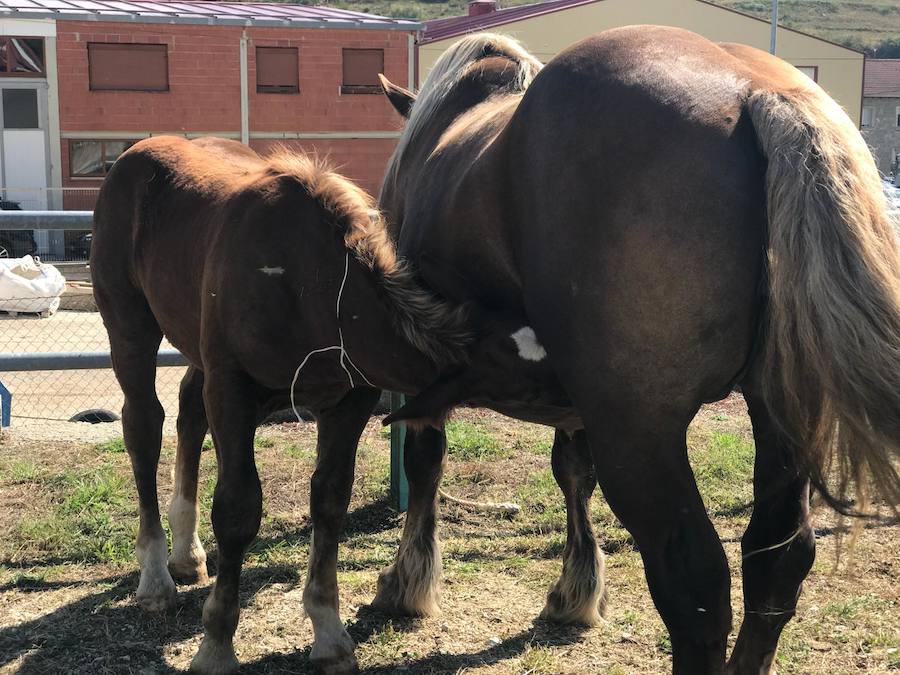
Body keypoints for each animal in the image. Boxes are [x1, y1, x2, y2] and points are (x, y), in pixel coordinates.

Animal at [90, 137, 472, 675]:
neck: (311, 283)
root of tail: (133, 154)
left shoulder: (349, 402)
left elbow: (330, 500)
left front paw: (329, 634)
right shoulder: (232, 391)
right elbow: (237, 509)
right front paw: (216, 646)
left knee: (188, 412)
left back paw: (186, 554)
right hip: (130, 328)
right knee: (144, 426)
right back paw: (155, 577)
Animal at [376, 27, 900, 675]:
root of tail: (757, 91)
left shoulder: (435, 376)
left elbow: (425, 459)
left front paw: (408, 582)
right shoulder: (569, 396)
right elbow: (572, 472)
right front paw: (576, 591)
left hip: (639, 430)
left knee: (694, 581)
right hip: (782, 410)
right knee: (776, 556)